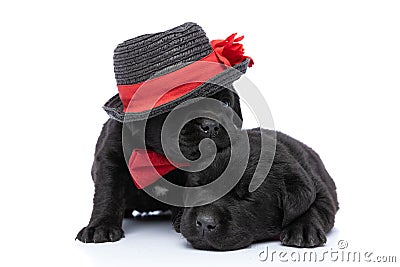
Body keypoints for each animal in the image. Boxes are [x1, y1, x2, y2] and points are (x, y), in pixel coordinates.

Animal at [76, 87, 242, 244]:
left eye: (226, 103)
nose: (212, 125)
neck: (160, 157)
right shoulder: (111, 159)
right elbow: (108, 193)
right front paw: (101, 226)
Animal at [175, 128, 338, 251]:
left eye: (247, 197)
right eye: (199, 184)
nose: (204, 222)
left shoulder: (320, 188)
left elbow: (317, 207)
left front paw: (303, 230)